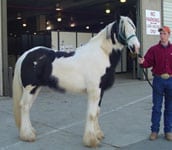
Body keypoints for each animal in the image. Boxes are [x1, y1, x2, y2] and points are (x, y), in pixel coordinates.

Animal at [13, 15, 140, 147]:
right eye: (122, 29)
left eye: (133, 27)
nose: (136, 47)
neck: (101, 54)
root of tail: (25, 55)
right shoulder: (94, 91)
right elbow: (91, 114)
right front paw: (91, 140)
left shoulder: (101, 91)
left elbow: (97, 112)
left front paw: (98, 134)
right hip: (30, 88)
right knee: (24, 106)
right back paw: (27, 136)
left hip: (35, 88)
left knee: (27, 107)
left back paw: (30, 131)